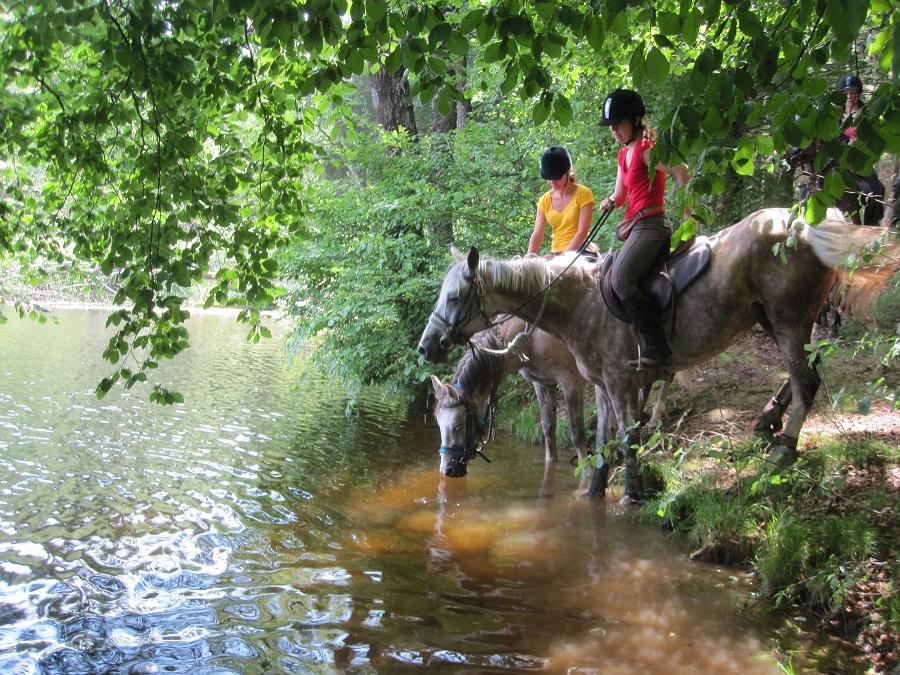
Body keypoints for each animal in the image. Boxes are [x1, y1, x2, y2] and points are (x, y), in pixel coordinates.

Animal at [418, 210, 896, 502]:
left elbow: (600, 434)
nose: (426, 346)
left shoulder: (599, 381)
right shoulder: (591, 383)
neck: (573, 305)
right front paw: (594, 486)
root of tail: (809, 221)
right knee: (809, 367)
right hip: (777, 320)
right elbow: (587, 435)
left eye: (455, 296)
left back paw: (782, 449)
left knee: (806, 380)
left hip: (789, 319)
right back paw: (766, 419)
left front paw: (629, 490)